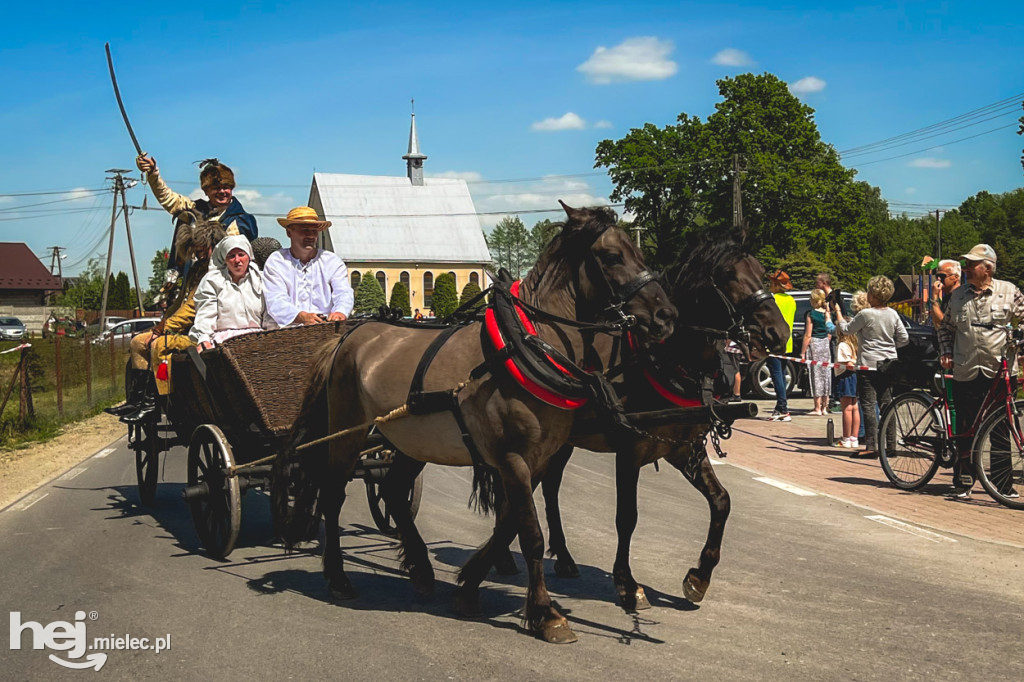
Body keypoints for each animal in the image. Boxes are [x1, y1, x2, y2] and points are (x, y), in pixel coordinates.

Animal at [272, 202, 675, 643]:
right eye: (612, 256)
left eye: (636, 250)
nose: (666, 315)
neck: (525, 347)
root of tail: (347, 335)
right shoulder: (513, 459)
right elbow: (530, 534)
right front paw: (546, 613)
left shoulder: (537, 459)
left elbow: (509, 524)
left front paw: (469, 586)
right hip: (348, 433)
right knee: (332, 495)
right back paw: (339, 578)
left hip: (410, 440)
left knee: (393, 491)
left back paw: (421, 570)